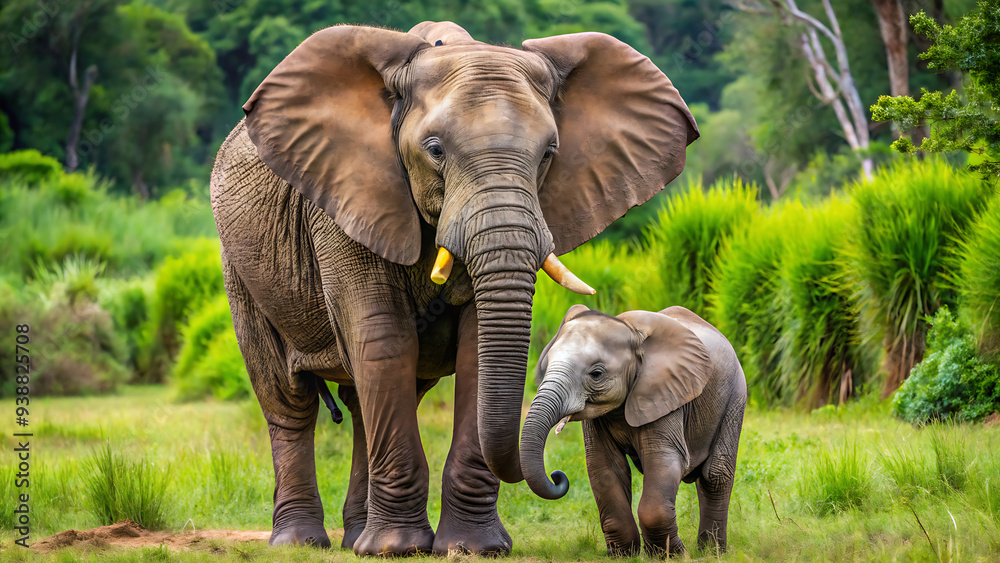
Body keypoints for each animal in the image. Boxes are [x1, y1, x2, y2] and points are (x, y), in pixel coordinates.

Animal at [209, 20, 698, 556]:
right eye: (436, 150)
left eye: (549, 154)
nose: (558, 477)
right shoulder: (344, 196)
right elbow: (383, 339)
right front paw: (397, 550)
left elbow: (476, 350)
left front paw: (472, 549)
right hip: (241, 266)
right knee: (288, 398)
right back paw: (301, 542)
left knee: (360, 404)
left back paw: (357, 537)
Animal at [520, 305, 746, 556]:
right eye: (545, 367)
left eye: (596, 374)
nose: (557, 475)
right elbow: (605, 468)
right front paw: (624, 554)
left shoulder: (666, 393)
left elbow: (664, 460)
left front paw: (674, 555)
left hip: (735, 395)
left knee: (715, 474)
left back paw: (711, 551)